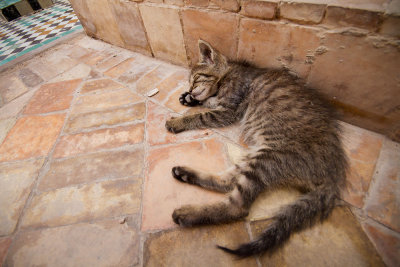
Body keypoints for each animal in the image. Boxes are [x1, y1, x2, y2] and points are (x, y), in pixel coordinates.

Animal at [165, 39, 346, 258]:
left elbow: (201, 115)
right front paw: (189, 99)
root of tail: (334, 174)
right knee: (227, 182)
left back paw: (186, 213)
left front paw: (179, 120)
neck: (228, 75)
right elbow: (206, 102)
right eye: (190, 82)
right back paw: (185, 173)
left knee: (238, 207)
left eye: (196, 78)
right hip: (255, 155)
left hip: (269, 158)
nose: (191, 90)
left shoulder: (227, 111)